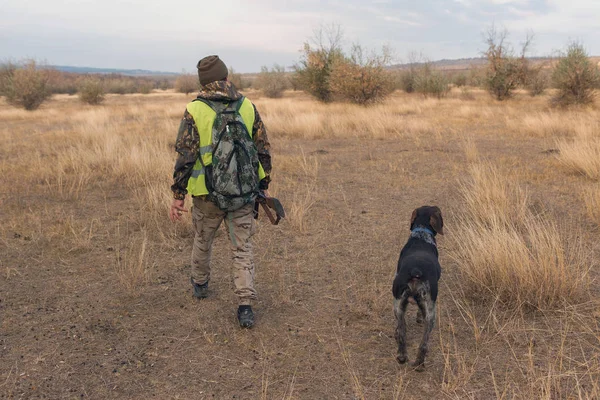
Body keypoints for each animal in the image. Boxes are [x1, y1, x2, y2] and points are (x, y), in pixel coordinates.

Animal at [392, 206, 442, 372]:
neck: (421, 234)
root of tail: (416, 270)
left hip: (399, 306)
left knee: (403, 334)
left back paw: (403, 357)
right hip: (431, 313)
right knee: (423, 343)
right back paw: (418, 363)